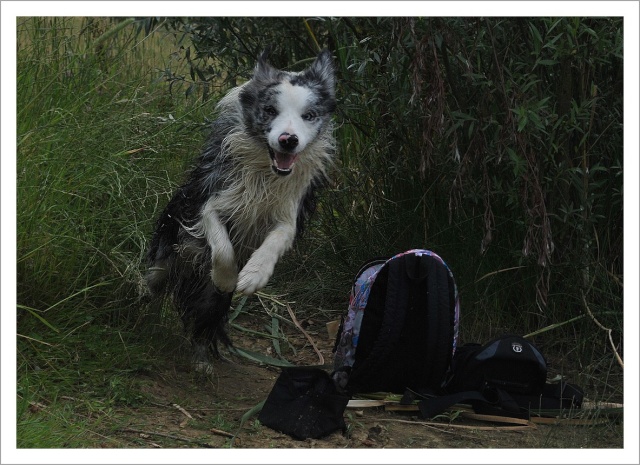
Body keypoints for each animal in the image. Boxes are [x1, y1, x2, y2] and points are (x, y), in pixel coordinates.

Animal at [144, 49, 336, 372]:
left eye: (309, 116)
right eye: (269, 110)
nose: (288, 140)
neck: (265, 173)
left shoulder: (288, 214)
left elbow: (275, 241)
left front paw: (252, 276)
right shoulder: (210, 202)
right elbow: (222, 248)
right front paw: (226, 277)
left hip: (209, 300)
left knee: (205, 318)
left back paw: (201, 358)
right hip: (165, 256)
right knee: (151, 282)